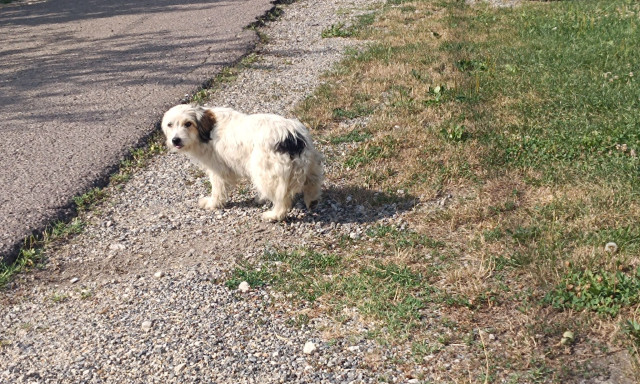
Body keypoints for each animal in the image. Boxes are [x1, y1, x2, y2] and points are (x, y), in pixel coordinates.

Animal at [162, 104, 322, 222]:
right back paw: (312, 200)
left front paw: (213, 203)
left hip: (265, 171)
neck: (207, 130)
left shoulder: (217, 169)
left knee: (282, 200)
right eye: (170, 125)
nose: (175, 140)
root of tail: (293, 137)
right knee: (313, 182)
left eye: (188, 123)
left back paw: (274, 215)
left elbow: (217, 189)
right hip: (310, 164)